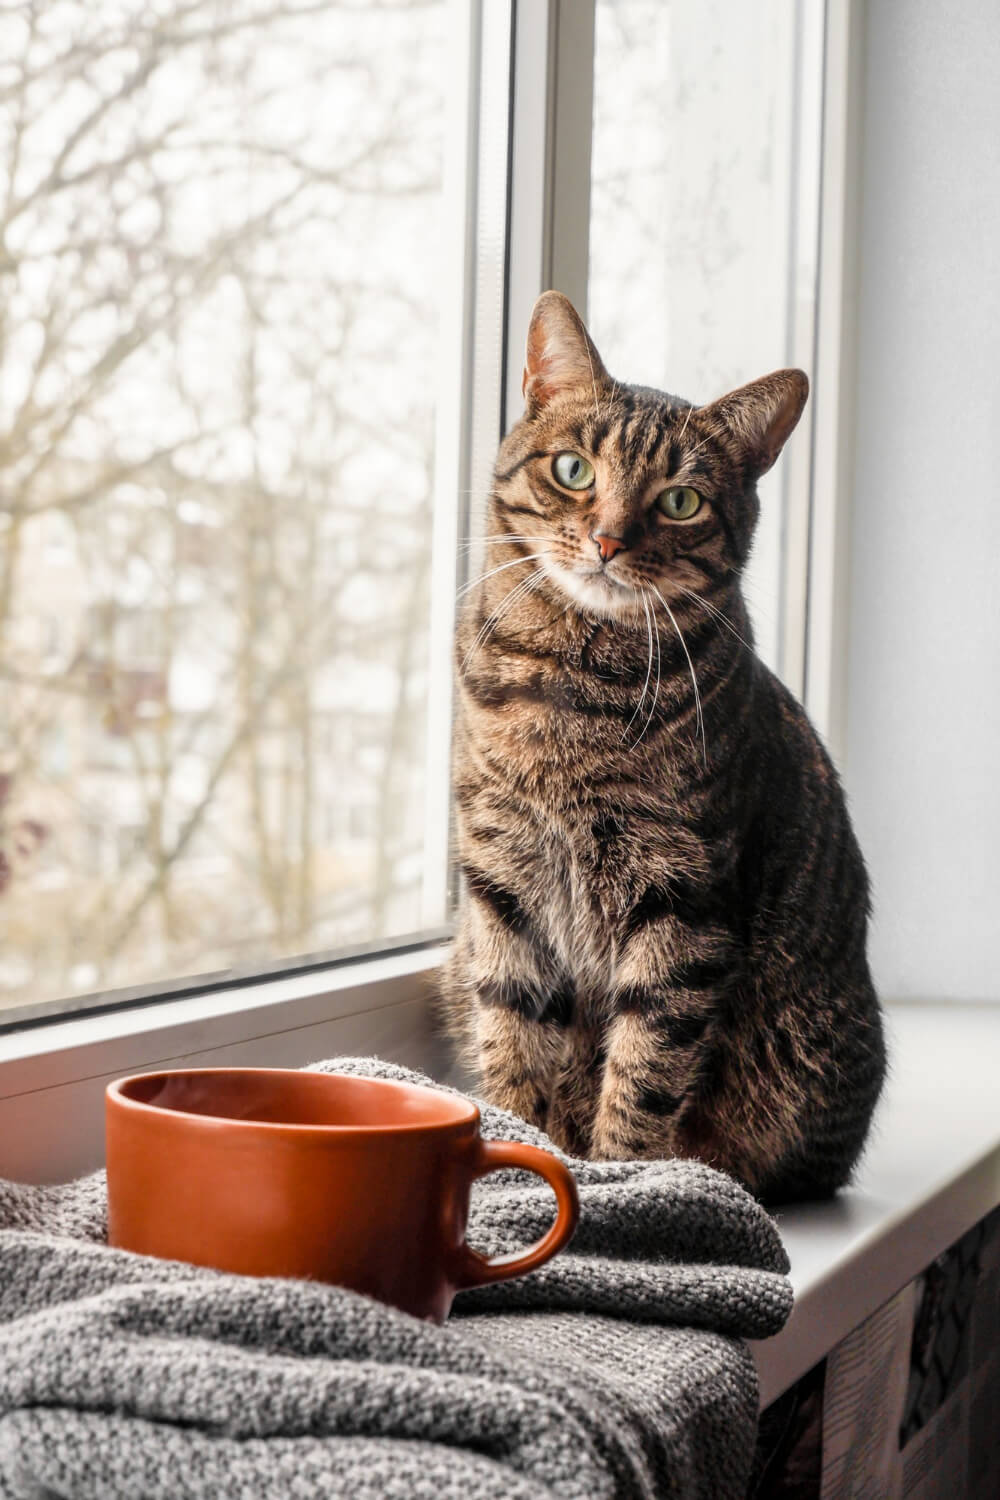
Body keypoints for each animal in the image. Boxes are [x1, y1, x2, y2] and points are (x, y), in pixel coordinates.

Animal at [440, 292, 887, 1206]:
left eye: (681, 502)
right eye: (573, 470)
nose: (608, 540)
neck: (568, 679)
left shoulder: (682, 903)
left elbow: (646, 1071)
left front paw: (620, 1184)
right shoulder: (502, 882)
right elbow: (513, 1043)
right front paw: (514, 1163)